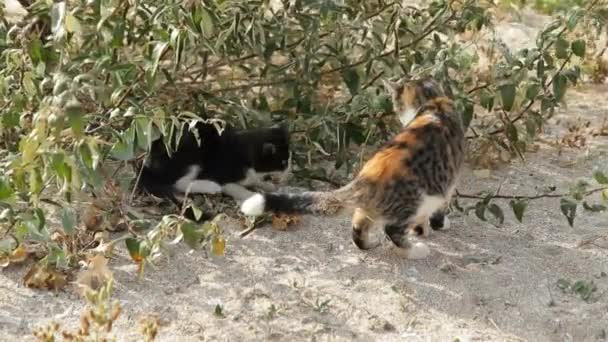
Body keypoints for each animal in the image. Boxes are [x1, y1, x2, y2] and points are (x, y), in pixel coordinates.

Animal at [139, 120, 290, 211]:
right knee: (178, 183)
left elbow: (256, 181)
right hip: (194, 152)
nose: (289, 171)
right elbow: (236, 188)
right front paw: (254, 196)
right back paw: (211, 187)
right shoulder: (223, 173)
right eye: (283, 163)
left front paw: (270, 186)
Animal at [240, 79, 464, 258]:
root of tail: (367, 179)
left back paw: (369, 244)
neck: (433, 104)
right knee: (392, 229)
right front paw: (436, 225)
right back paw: (415, 251)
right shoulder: (449, 183)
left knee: (358, 224)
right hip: (419, 199)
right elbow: (438, 210)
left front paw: (422, 228)